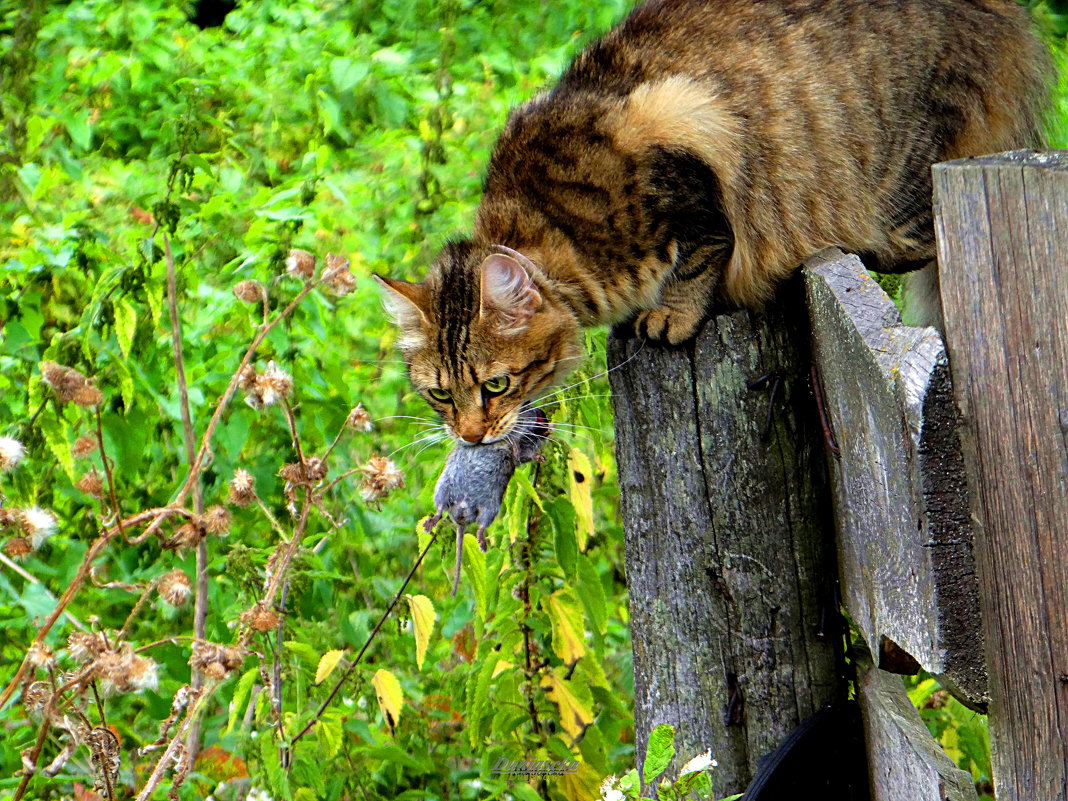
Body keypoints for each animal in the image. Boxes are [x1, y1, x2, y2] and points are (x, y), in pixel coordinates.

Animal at [378, 0, 1050, 446]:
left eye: (496, 385)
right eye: (440, 393)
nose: (469, 436)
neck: (556, 225)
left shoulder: (689, 135)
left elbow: (702, 250)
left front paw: (670, 316)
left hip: (896, 181)